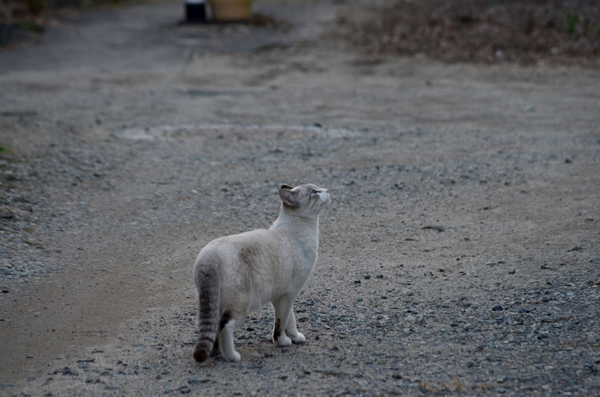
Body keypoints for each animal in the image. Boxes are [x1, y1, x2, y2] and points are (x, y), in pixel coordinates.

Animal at [193, 183, 328, 362]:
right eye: (314, 192)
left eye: (318, 188)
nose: (327, 190)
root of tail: (209, 258)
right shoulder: (288, 294)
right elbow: (281, 323)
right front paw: (283, 342)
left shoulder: (282, 295)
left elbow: (290, 320)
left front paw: (296, 337)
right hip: (241, 304)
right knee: (224, 325)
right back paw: (231, 356)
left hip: (217, 304)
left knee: (214, 327)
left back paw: (217, 351)